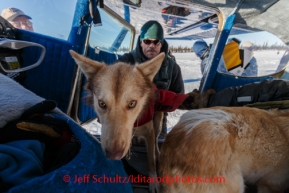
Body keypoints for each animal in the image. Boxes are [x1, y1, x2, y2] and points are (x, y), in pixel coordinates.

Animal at [69, 50, 164, 193]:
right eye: (102, 104)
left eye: (132, 103)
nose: (114, 154)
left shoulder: (149, 132)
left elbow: (150, 160)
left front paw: (153, 181)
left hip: (157, 123)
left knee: (156, 141)